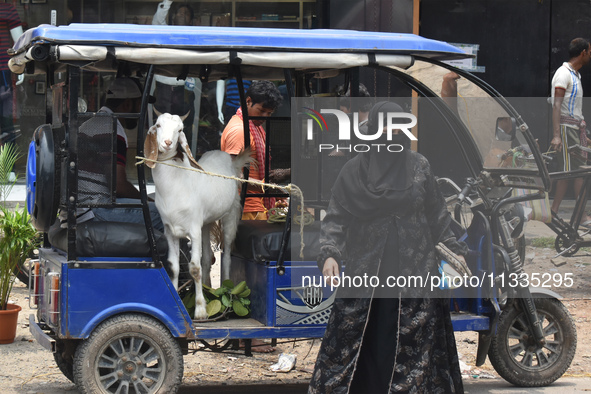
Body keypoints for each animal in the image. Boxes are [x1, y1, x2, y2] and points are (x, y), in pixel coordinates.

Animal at [146, 111, 252, 320]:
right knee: (207, 257)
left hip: (230, 215)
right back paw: (209, 289)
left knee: (226, 255)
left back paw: (227, 296)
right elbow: (174, 266)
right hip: (206, 223)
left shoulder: (193, 229)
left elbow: (194, 268)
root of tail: (231, 161)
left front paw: (201, 310)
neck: (176, 186)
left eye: (180, 129)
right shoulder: (170, 230)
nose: (168, 143)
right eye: (158, 125)